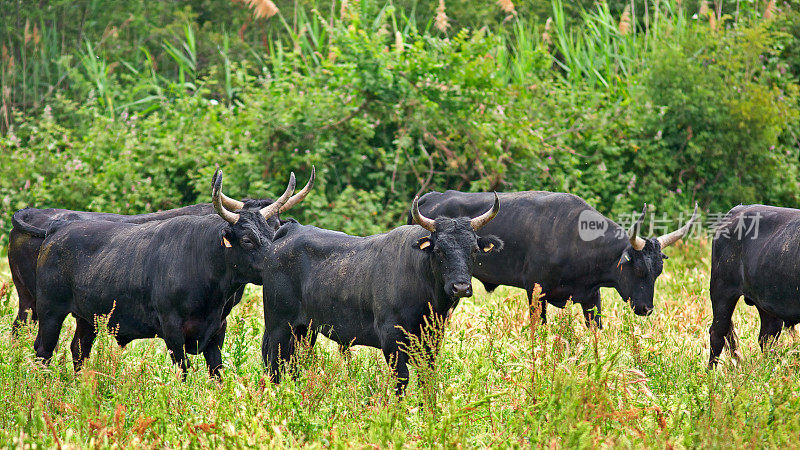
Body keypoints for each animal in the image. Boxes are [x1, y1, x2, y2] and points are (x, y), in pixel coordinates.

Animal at [410, 190, 696, 326]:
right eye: (637, 269)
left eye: (658, 271)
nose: (646, 309)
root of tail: (434, 196)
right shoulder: (535, 292)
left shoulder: (591, 297)